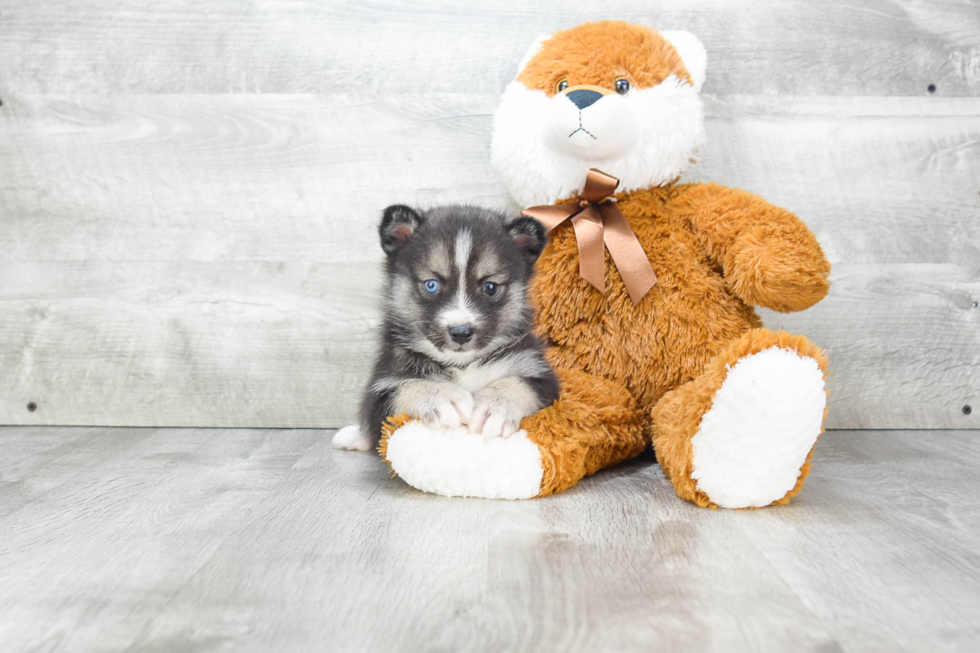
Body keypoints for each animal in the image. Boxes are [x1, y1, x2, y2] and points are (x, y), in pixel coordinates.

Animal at [334, 206, 560, 450]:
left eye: (490, 287)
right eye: (431, 285)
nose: (461, 333)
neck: (462, 365)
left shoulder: (540, 375)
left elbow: (519, 384)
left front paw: (495, 406)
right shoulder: (382, 384)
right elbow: (404, 388)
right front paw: (441, 396)